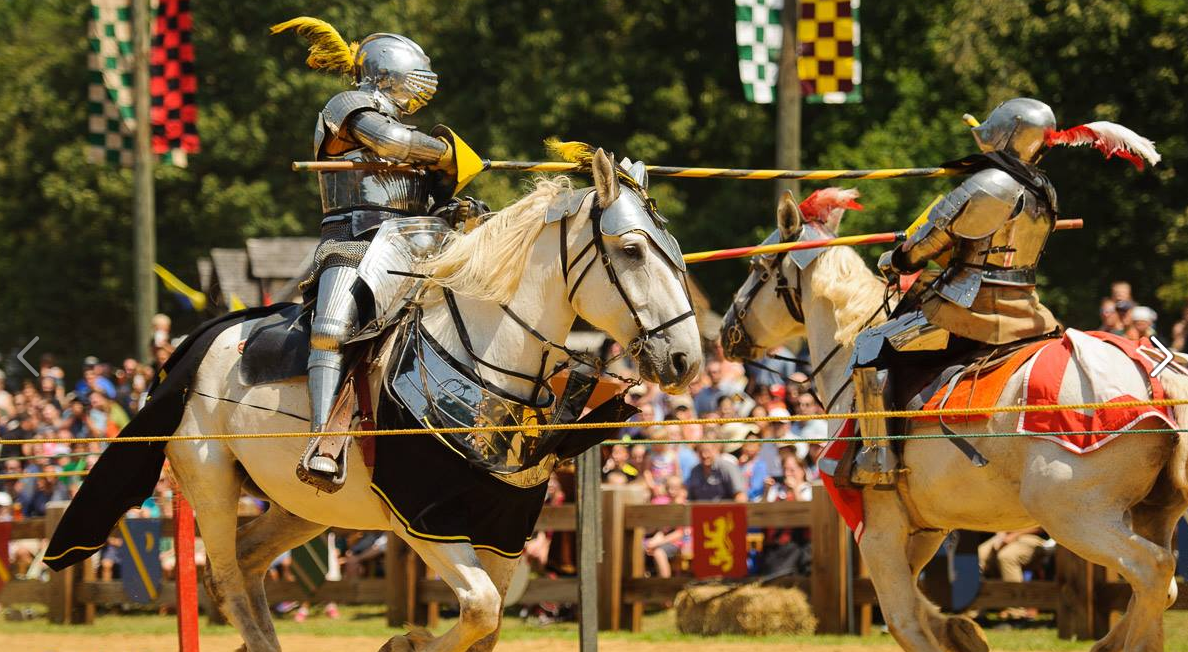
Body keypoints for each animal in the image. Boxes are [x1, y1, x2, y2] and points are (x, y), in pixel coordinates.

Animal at [160, 148, 693, 650]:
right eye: (632, 250)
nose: (685, 359)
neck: (483, 358)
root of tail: (203, 339)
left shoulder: (504, 530)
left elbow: (490, 625)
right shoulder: (425, 520)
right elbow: (481, 609)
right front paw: (404, 643)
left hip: (299, 506)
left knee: (248, 561)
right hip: (211, 484)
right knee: (226, 578)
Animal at [717, 187, 1183, 650]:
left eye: (759, 269)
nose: (726, 333)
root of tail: (1154, 371)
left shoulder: (878, 529)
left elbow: (903, 619)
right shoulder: (924, 529)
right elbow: (918, 602)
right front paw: (959, 630)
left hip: (1073, 513)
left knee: (1153, 569)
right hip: (1150, 511)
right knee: (1165, 582)